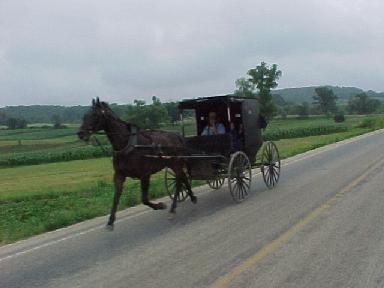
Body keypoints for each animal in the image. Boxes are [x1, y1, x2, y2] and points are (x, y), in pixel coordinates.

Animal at [78, 97, 198, 230]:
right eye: (85, 115)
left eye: (95, 115)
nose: (80, 133)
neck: (127, 145)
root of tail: (177, 136)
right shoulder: (119, 175)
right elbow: (116, 198)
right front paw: (110, 221)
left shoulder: (145, 174)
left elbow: (144, 199)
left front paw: (160, 205)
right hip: (173, 164)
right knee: (183, 178)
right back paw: (192, 197)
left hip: (176, 163)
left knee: (178, 182)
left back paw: (172, 209)